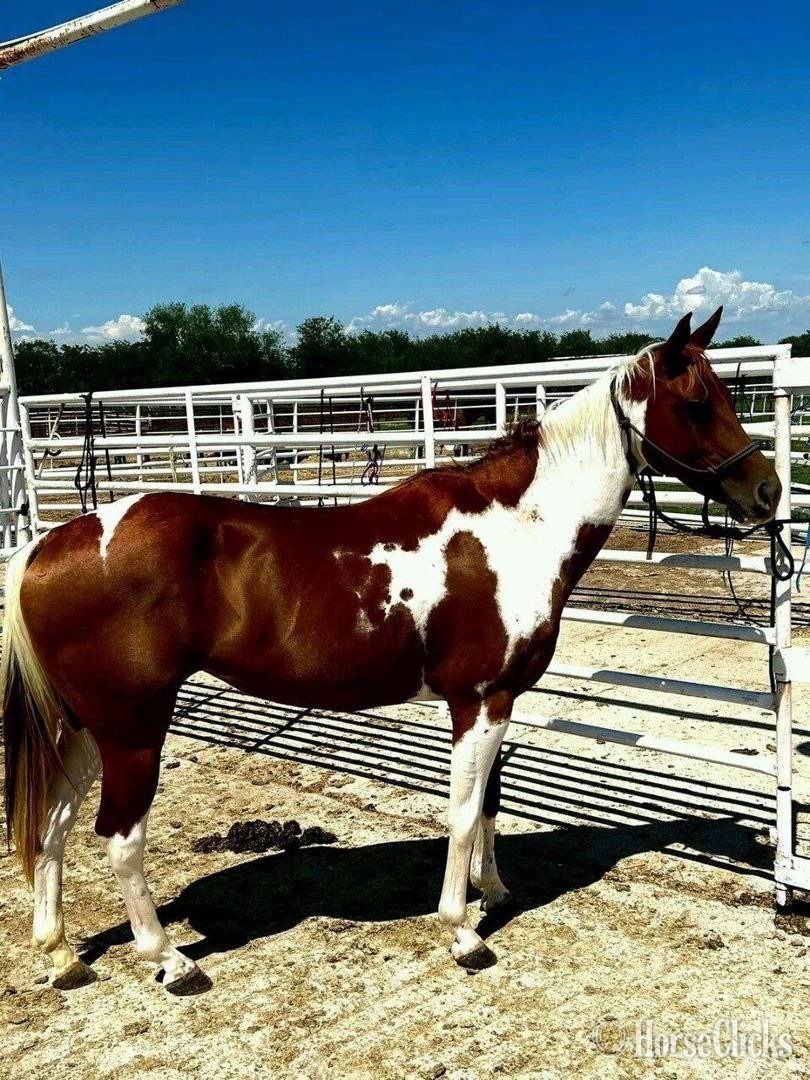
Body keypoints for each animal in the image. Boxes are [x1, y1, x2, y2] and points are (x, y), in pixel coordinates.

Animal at [1, 307, 780, 995]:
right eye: (697, 403)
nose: (768, 491)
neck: (517, 527)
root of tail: (46, 546)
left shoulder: (495, 702)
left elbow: (491, 803)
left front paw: (495, 891)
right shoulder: (479, 701)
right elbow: (462, 814)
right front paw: (463, 933)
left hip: (86, 729)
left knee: (55, 826)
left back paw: (62, 956)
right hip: (133, 730)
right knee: (119, 838)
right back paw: (170, 961)